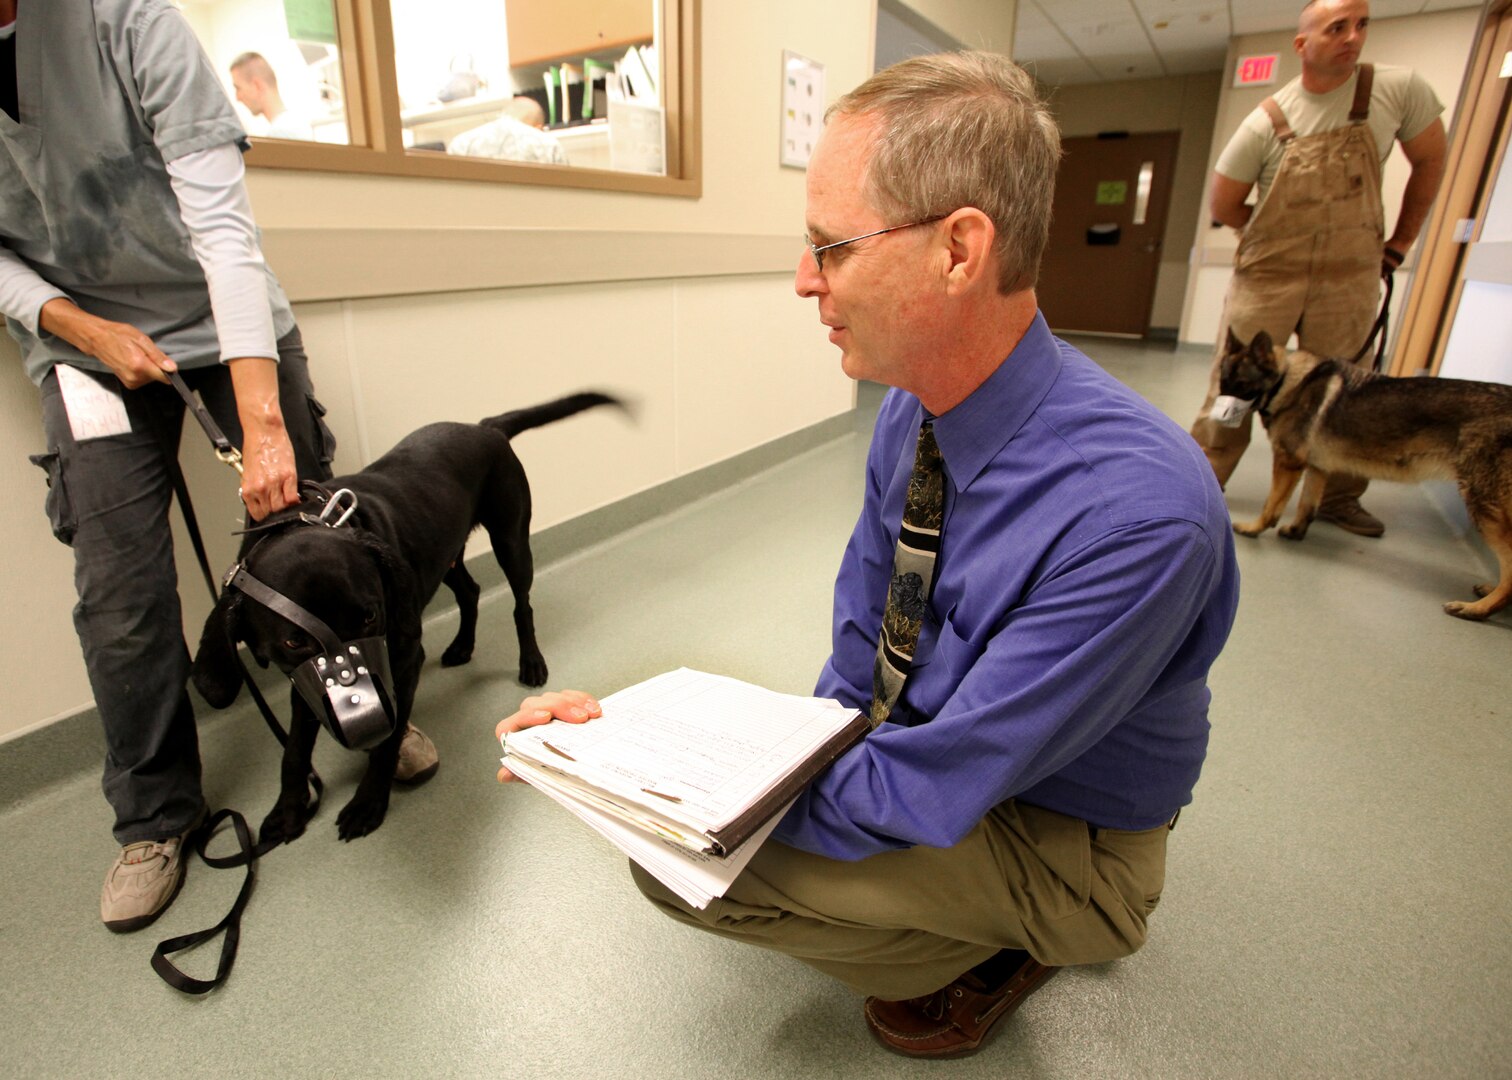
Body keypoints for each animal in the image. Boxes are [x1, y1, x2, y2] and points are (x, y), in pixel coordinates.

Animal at [193, 390, 619, 841]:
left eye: (369, 617)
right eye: (294, 640)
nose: (366, 725)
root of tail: (482, 427)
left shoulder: (402, 658)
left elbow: (388, 742)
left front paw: (368, 802)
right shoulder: (301, 677)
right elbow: (293, 750)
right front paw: (287, 811)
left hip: (511, 539)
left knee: (522, 605)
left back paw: (531, 661)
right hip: (441, 556)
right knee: (470, 591)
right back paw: (462, 646)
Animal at [1215, 323, 1512, 617]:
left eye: (1241, 384)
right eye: (1222, 381)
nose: (1219, 412)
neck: (1288, 381)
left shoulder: (1288, 462)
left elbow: (1271, 505)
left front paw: (1253, 528)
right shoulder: (1317, 468)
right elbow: (1307, 506)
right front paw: (1296, 531)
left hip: (1482, 504)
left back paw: (1478, 608)